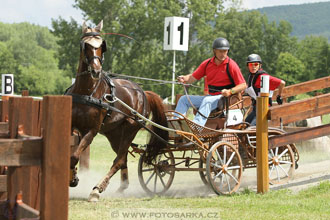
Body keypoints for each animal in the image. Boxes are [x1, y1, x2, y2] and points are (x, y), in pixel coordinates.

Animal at [65, 20, 169, 201]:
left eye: (101, 45)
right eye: (85, 45)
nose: (96, 70)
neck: (87, 91)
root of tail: (142, 92)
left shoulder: (91, 131)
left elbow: (75, 155)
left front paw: (75, 179)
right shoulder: (73, 126)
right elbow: (71, 153)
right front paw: (74, 177)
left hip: (130, 128)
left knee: (119, 160)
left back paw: (97, 189)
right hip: (113, 133)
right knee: (122, 157)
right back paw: (121, 186)